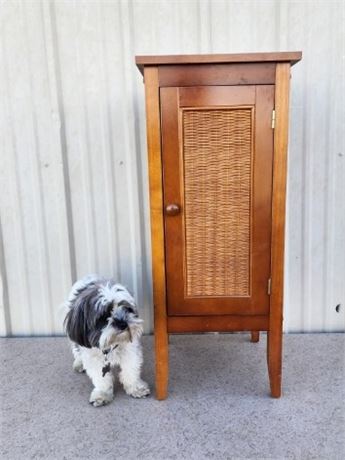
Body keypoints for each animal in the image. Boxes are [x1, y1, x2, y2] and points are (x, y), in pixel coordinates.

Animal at [64, 274, 149, 404]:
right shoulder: (93, 357)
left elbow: (131, 369)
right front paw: (102, 393)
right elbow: (101, 378)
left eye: (127, 309)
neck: (111, 344)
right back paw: (79, 362)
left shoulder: (130, 351)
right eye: (104, 316)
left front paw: (135, 387)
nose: (123, 323)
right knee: (76, 349)